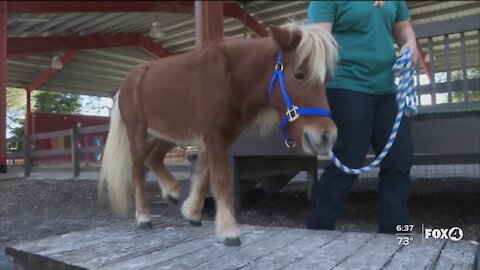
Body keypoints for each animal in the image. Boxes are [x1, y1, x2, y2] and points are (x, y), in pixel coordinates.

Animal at [98, 23, 338, 247]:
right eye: (299, 75)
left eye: (325, 79)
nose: (327, 136)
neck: (230, 77)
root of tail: (126, 83)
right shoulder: (214, 135)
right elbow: (221, 180)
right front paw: (229, 231)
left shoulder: (217, 137)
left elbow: (204, 174)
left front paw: (192, 213)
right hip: (138, 130)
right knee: (138, 169)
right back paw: (144, 217)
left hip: (169, 132)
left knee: (153, 157)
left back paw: (172, 191)